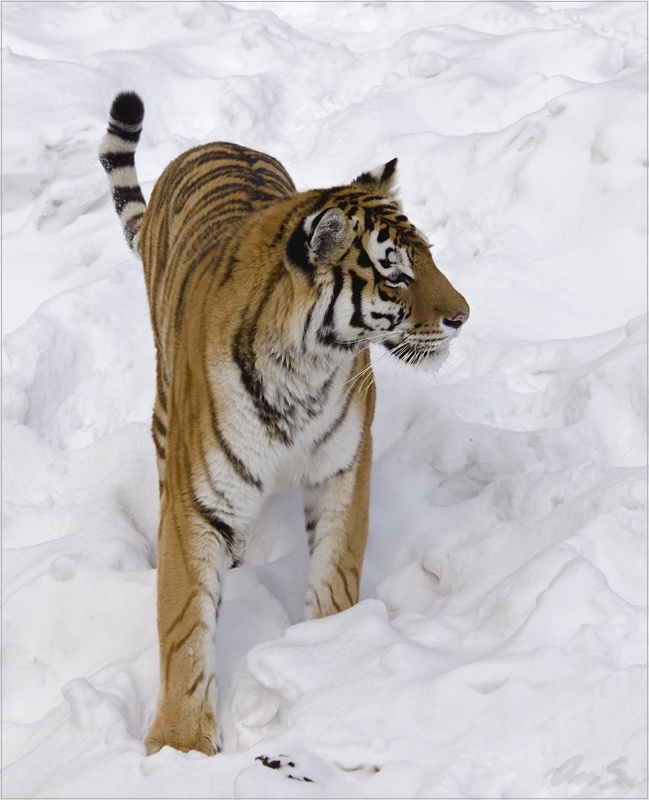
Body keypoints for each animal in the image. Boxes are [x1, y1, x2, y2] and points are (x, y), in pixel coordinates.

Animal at [99, 91, 469, 756]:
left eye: (428, 257)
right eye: (396, 273)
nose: (464, 316)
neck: (304, 366)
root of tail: (216, 143)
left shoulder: (343, 464)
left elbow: (337, 569)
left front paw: (332, 661)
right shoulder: (195, 502)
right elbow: (184, 622)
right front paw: (181, 745)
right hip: (165, 411)